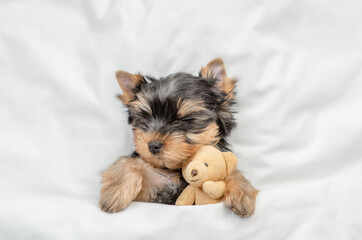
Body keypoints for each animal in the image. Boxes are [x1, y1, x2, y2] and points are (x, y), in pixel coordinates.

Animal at [99, 58, 258, 218]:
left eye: (185, 119)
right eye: (145, 118)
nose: (153, 145)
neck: (175, 168)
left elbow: (230, 171)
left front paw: (242, 192)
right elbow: (126, 162)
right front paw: (114, 193)